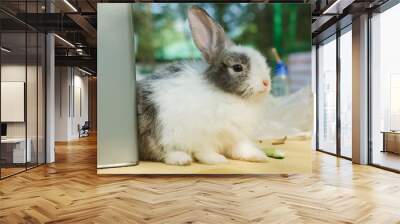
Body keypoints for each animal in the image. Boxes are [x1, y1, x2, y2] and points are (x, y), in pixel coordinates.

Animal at [138, 6, 272, 165]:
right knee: (160, 151)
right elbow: (204, 151)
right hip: (155, 131)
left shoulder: (236, 136)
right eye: (237, 67)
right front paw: (217, 160)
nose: (266, 82)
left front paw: (258, 156)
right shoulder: (204, 136)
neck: (227, 94)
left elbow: (240, 148)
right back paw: (181, 158)